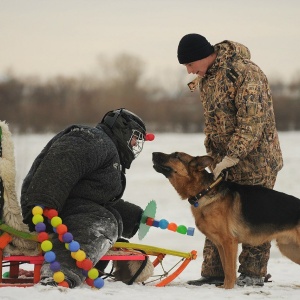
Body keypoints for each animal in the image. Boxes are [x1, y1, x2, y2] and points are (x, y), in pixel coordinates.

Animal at [154, 152, 300, 288]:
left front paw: (228, 288)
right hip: (289, 249)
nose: (153, 153)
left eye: (176, 155)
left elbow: (230, 271)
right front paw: (223, 287)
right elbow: (226, 268)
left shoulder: (229, 242)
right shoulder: (220, 244)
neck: (204, 191)